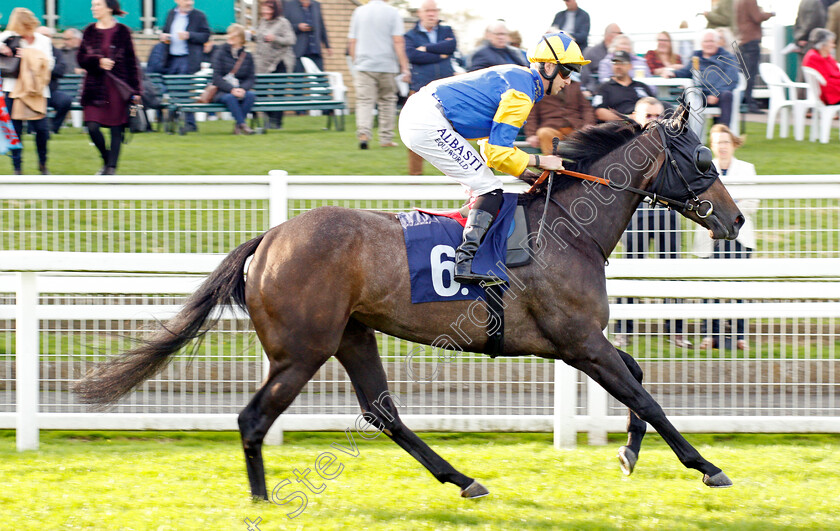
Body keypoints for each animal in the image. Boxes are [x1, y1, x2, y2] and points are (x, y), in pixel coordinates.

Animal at [74, 105, 740, 502]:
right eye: (702, 160)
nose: (733, 221)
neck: (568, 229)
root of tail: (270, 238)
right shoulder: (578, 342)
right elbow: (644, 395)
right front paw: (706, 465)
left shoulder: (578, 343)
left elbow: (639, 377)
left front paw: (628, 453)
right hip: (302, 351)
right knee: (253, 419)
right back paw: (262, 500)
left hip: (352, 335)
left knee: (383, 412)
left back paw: (463, 479)